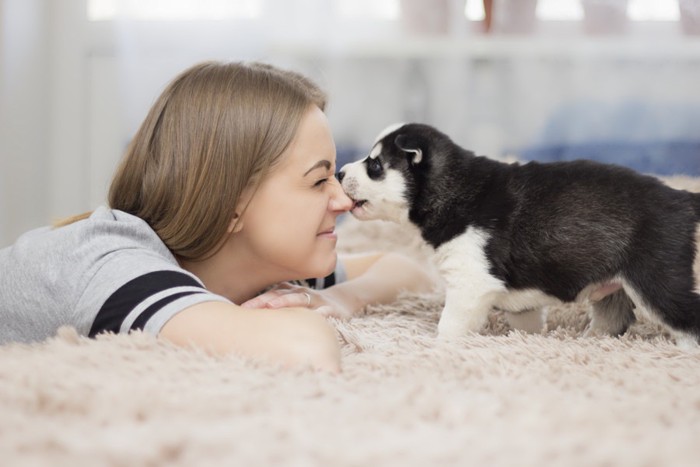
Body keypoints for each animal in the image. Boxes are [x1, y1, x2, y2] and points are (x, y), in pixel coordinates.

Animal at [336, 124, 700, 348]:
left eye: (375, 166)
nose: (339, 172)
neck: (454, 189)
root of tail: (681, 197)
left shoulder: (470, 283)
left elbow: (449, 325)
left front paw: (440, 346)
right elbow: (526, 323)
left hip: (657, 283)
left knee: (687, 320)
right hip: (617, 287)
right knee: (613, 321)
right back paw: (590, 341)